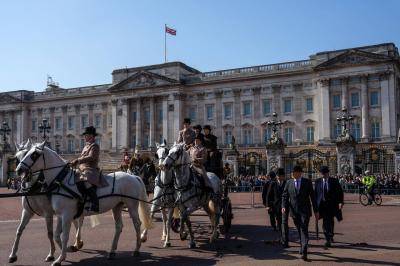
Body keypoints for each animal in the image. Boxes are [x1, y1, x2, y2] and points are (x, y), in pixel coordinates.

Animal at [15, 142, 152, 266]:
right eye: (23, 154)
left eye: (34, 154)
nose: (18, 170)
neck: (61, 182)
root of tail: (133, 177)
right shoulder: (60, 215)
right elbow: (56, 235)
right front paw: (67, 251)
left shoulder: (66, 215)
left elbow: (64, 236)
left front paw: (60, 259)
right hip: (117, 207)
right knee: (119, 226)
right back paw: (112, 252)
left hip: (132, 206)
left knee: (137, 224)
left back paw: (137, 249)